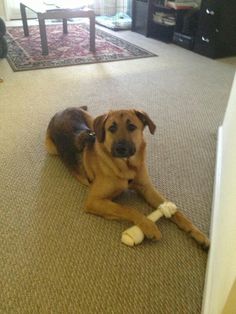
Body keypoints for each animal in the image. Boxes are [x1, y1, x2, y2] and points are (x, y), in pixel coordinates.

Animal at [45, 106, 210, 249]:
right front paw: (149, 226)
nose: (121, 148)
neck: (126, 166)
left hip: (91, 122)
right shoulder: (94, 201)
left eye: (131, 127)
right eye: (112, 128)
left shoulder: (147, 188)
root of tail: (63, 109)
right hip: (53, 149)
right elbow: (128, 209)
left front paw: (198, 234)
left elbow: (177, 213)